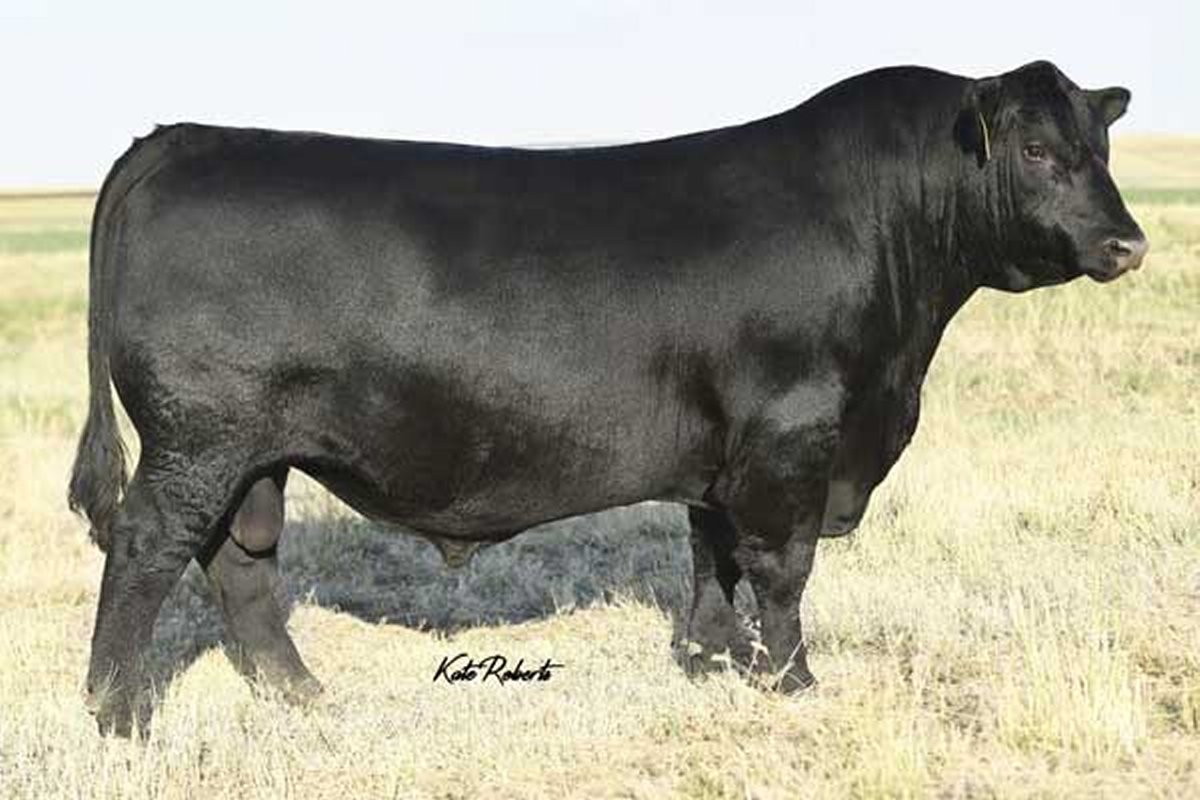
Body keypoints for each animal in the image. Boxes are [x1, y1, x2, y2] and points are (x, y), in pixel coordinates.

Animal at [69, 60, 1147, 736]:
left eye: (1100, 147)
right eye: (1038, 152)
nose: (1126, 243)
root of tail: (182, 138)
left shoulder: (725, 452)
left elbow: (714, 556)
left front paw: (713, 660)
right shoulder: (793, 437)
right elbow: (782, 567)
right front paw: (793, 681)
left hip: (253, 453)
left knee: (239, 563)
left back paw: (299, 694)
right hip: (197, 439)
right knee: (148, 548)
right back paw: (118, 716)